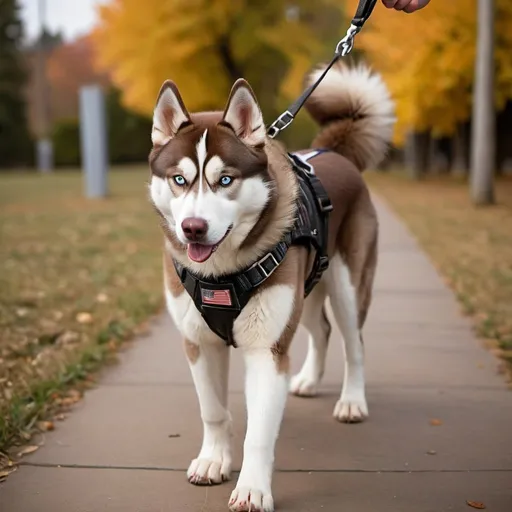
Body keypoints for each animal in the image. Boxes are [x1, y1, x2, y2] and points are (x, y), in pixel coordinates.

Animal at [148, 61, 396, 512]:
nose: (193, 228)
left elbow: (259, 434)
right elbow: (213, 410)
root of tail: (334, 153)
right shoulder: (198, 342)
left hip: (348, 287)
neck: (222, 273)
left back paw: (352, 401)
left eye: (225, 180)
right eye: (179, 179)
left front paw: (251, 488)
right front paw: (213, 460)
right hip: (308, 289)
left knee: (354, 342)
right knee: (322, 329)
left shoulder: (266, 349)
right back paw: (310, 380)